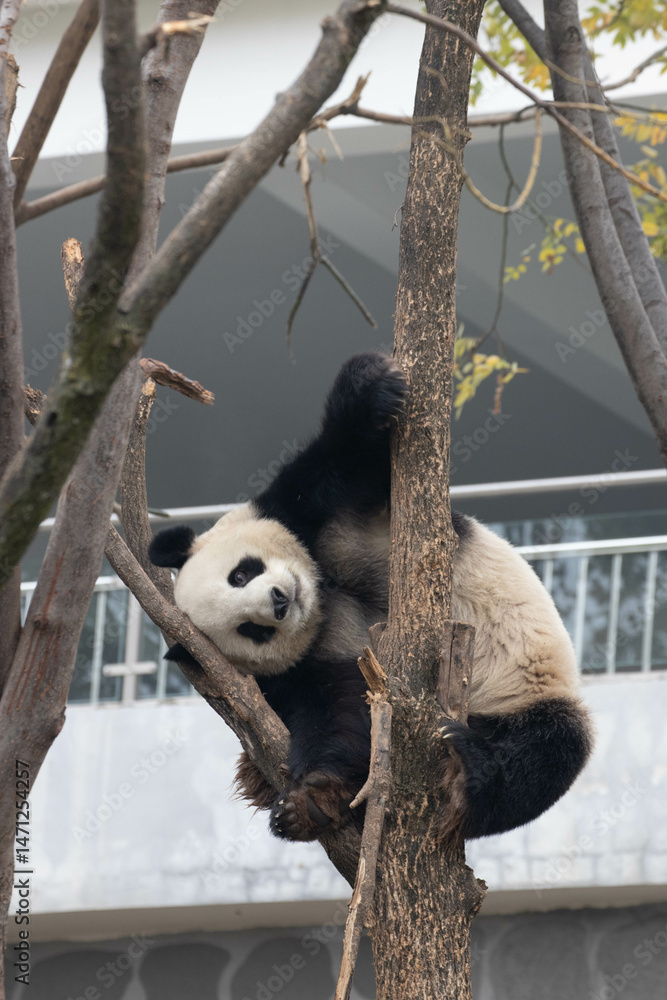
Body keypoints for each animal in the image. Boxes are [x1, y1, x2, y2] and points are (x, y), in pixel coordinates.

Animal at [149, 352, 593, 842]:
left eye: (241, 573)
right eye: (251, 630)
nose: (280, 601)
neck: (325, 593)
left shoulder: (315, 511)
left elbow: (347, 460)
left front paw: (370, 385)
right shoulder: (301, 671)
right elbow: (337, 711)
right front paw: (311, 801)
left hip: (527, 687)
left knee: (547, 750)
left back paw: (468, 767)